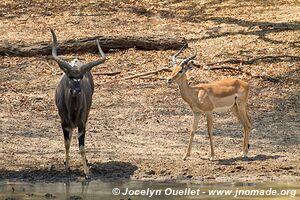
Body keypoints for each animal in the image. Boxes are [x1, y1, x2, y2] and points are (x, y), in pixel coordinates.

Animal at [49, 28, 105, 177]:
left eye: (80, 77)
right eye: (70, 76)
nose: (77, 90)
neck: (72, 109)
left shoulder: (81, 123)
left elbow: (81, 147)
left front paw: (86, 172)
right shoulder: (64, 122)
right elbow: (67, 144)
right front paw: (66, 168)